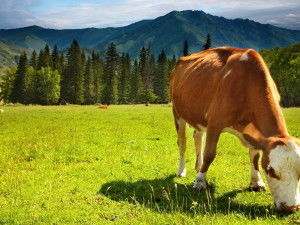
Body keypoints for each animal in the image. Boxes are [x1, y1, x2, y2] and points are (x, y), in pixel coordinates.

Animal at [170, 46, 300, 212]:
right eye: (271, 170)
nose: (291, 207)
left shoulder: (255, 133)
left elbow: (255, 156)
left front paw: (256, 182)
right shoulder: (214, 122)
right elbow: (209, 154)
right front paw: (200, 182)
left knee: (198, 137)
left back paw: (198, 167)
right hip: (177, 113)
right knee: (182, 143)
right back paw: (182, 170)